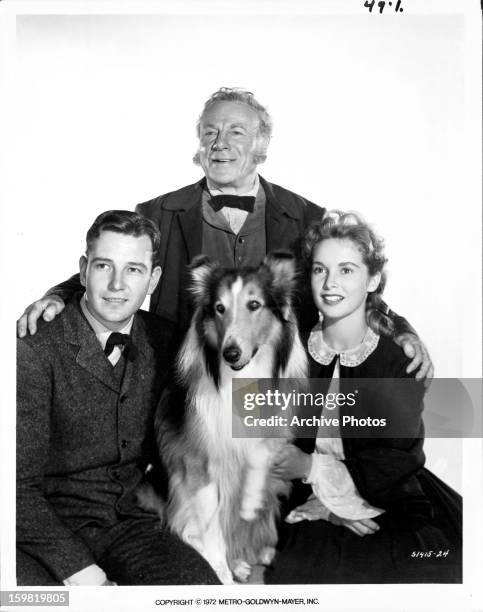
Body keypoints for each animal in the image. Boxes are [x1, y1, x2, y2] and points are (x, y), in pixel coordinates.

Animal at [156, 250, 306, 584]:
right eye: (219, 308)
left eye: (254, 304)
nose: (231, 354)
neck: (241, 380)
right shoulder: (198, 465)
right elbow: (211, 528)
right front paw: (221, 572)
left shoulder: (273, 431)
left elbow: (259, 453)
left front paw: (249, 501)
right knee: (191, 531)